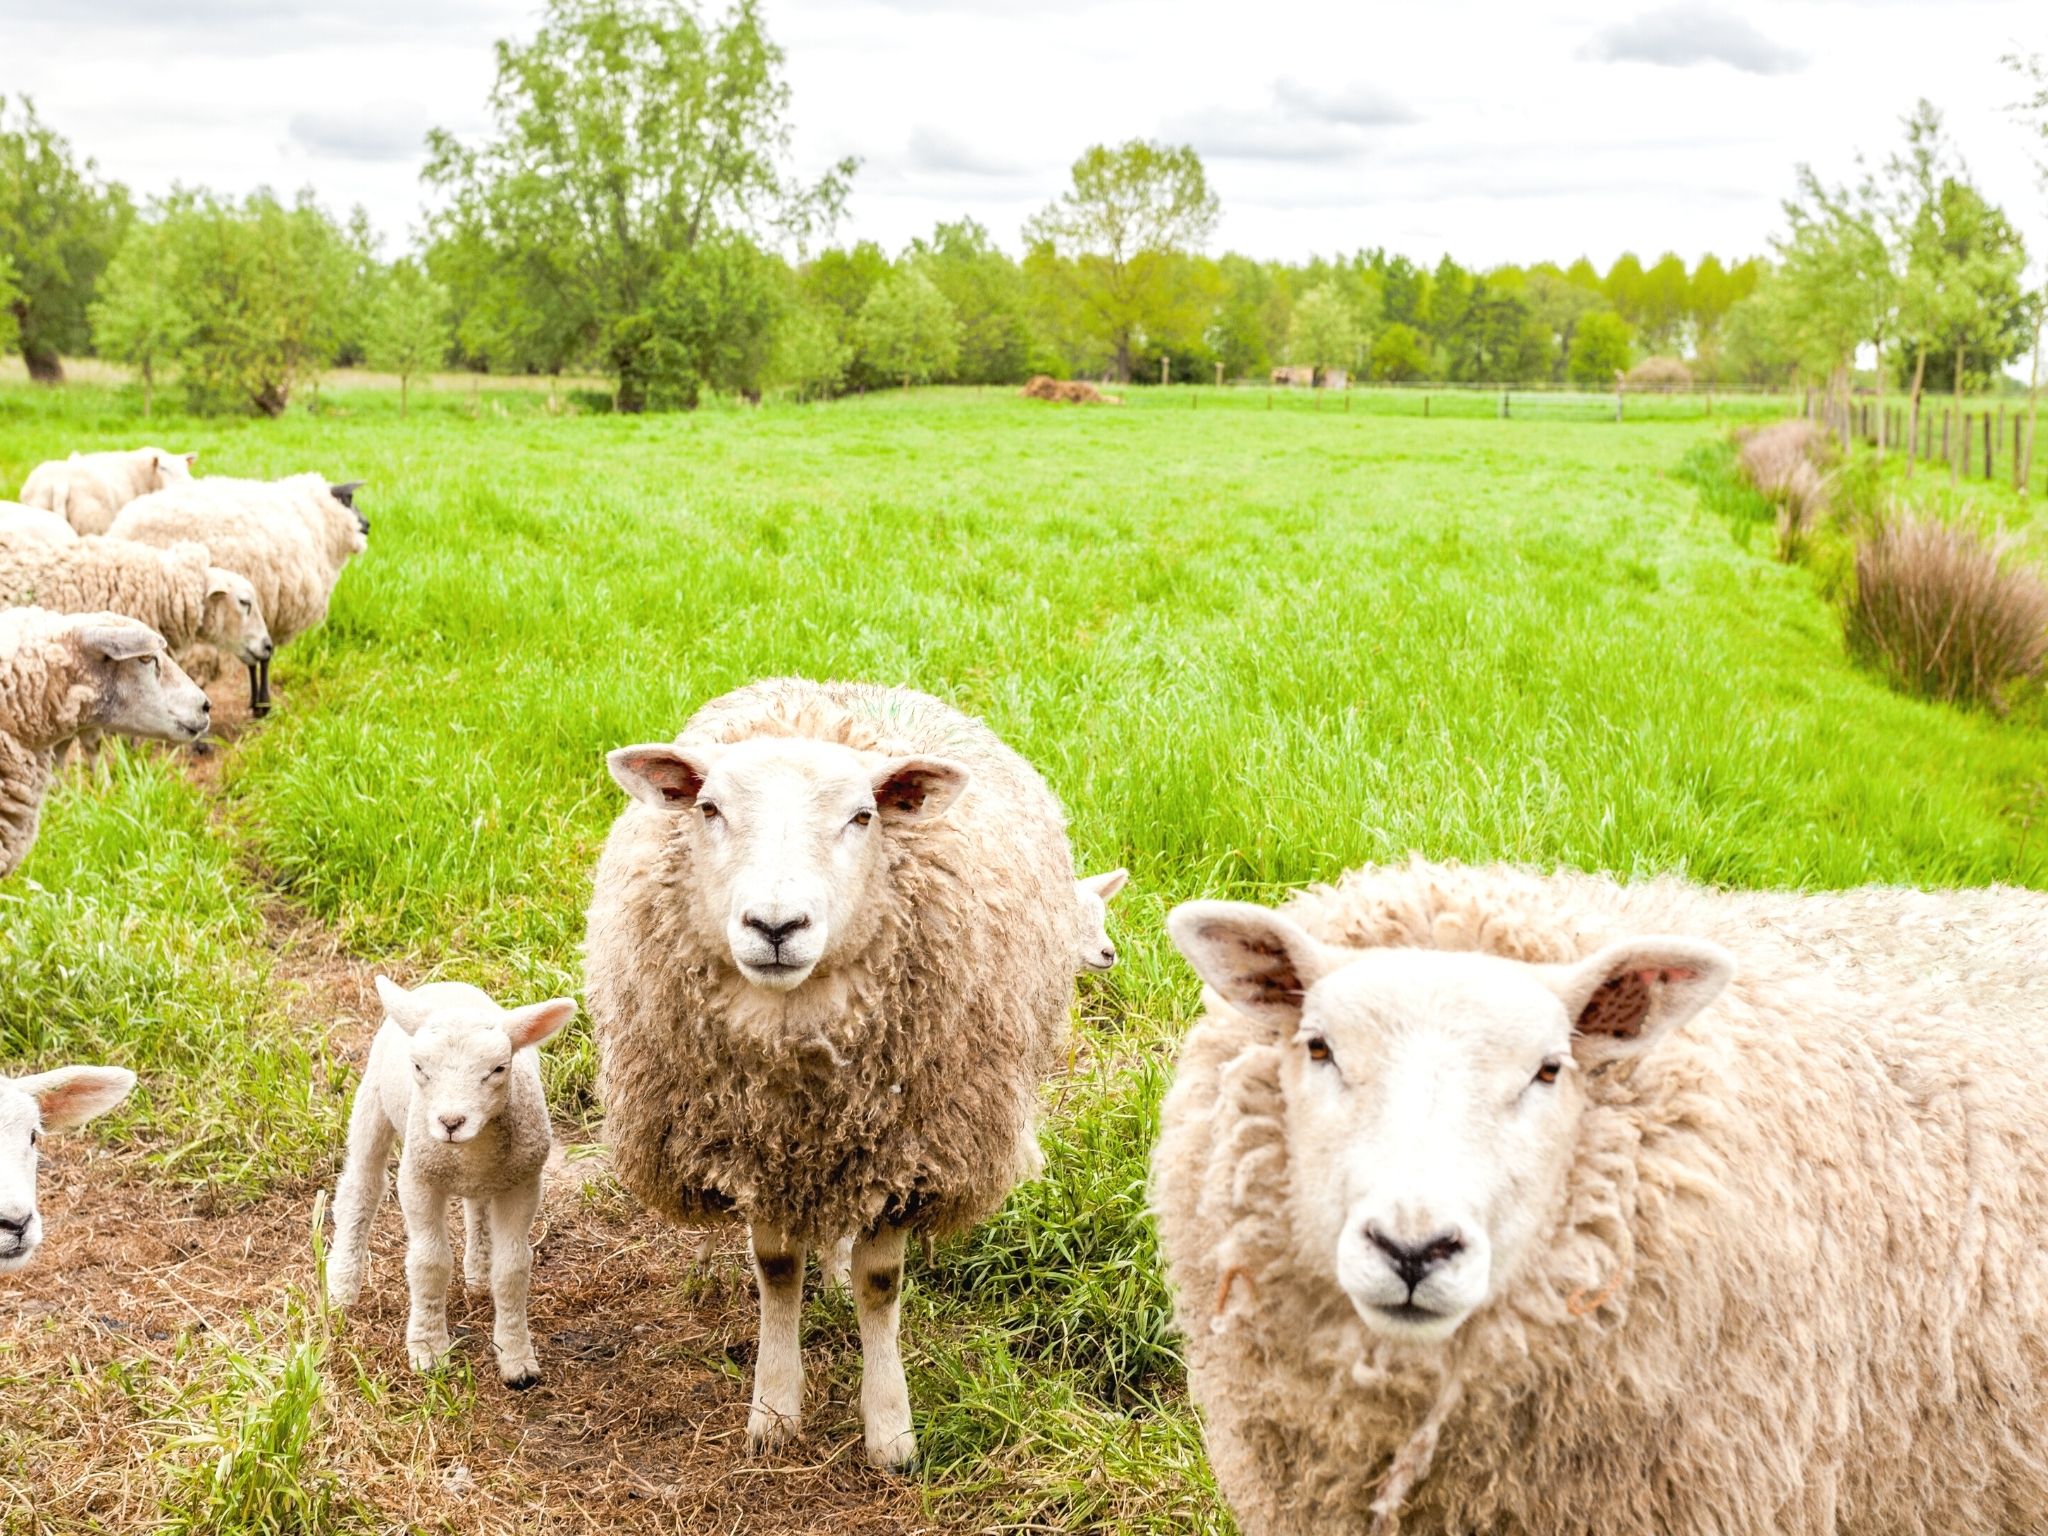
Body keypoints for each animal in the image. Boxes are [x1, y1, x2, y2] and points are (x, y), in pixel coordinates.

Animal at [108, 474, 367, 716]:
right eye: (350, 500)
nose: (368, 524)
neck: (316, 517)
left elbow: (252, 655)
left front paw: (257, 701)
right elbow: (263, 656)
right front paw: (262, 704)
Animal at [325, 977, 576, 1389]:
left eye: (498, 1068)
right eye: (418, 1066)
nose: (450, 1122)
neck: (470, 1152)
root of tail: (448, 982)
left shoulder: (524, 1182)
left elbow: (513, 1268)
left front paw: (517, 1359)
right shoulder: (418, 1178)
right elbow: (429, 1262)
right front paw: (428, 1350)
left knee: (477, 1206)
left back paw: (479, 1272)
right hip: (372, 1102)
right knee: (361, 1188)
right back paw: (343, 1286)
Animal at [586, 678, 1077, 1469]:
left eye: (862, 816)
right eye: (709, 808)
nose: (775, 927)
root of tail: (832, 692)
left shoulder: (908, 1159)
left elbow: (881, 1285)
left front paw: (890, 1431)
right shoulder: (757, 1150)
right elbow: (776, 1271)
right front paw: (775, 1411)